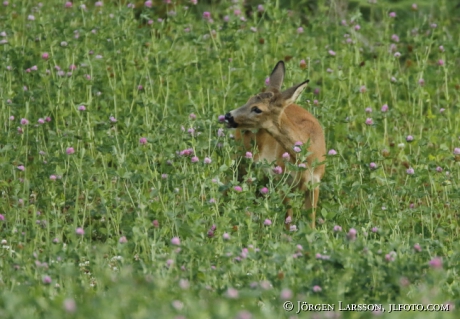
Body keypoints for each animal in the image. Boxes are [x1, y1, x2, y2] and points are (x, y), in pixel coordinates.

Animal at [224, 60, 326, 230]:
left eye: (257, 109)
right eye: (250, 99)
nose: (228, 116)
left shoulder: (314, 183)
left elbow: (310, 221)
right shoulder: (283, 181)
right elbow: (287, 217)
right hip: (241, 156)